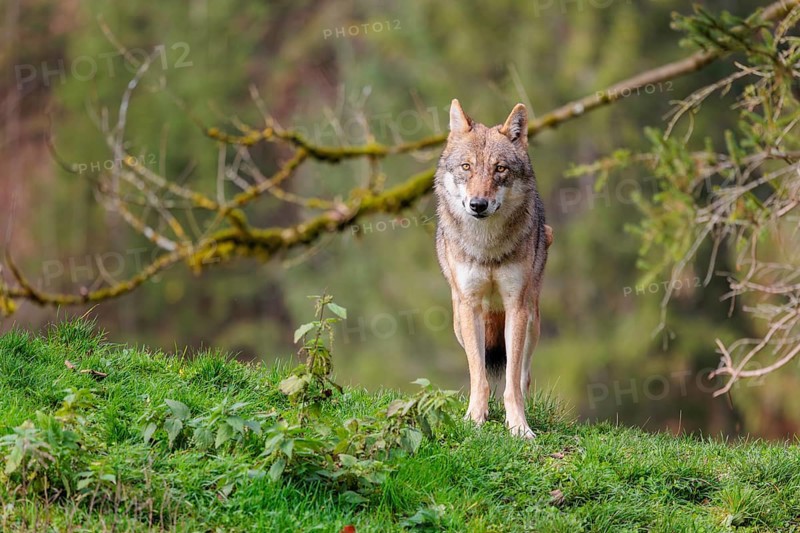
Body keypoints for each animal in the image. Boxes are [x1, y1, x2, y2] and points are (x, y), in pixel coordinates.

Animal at [434, 99, 552, 438]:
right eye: (467, 167)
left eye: (500, 168)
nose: (478, 204)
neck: (487, 248)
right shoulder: (470, 305)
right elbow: (479, 376)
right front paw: (475, 419)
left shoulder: (516, 307)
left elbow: (512, 381)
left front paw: (519, 427)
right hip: (459, 322)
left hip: (533, 321)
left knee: (523, 375)